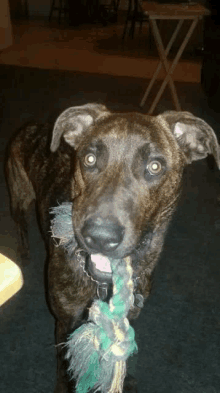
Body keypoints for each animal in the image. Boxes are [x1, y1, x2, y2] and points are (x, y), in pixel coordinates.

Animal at [5, 102, 220, 390]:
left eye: (154, 166)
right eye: (89, 159)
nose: (99, 237)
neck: (102, 285)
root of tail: (34, 126)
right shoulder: (65, 323)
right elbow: (65, 367)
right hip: (20, 194)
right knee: (19, 222)